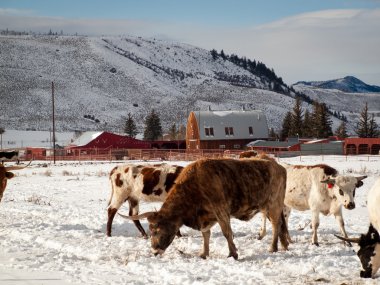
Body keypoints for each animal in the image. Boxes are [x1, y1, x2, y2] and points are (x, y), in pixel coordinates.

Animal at [120, 156, 290, 258]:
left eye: (157, 229)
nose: (155, 250)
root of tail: (279, 166)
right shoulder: (205, 218)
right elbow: (205, 235)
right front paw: (204, 253)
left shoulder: (221, 211)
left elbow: (227, 233)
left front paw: (233, 253)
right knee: (281, 225)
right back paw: (284, 245)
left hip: (273, 205)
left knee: (276, 225)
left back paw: (273, 247)